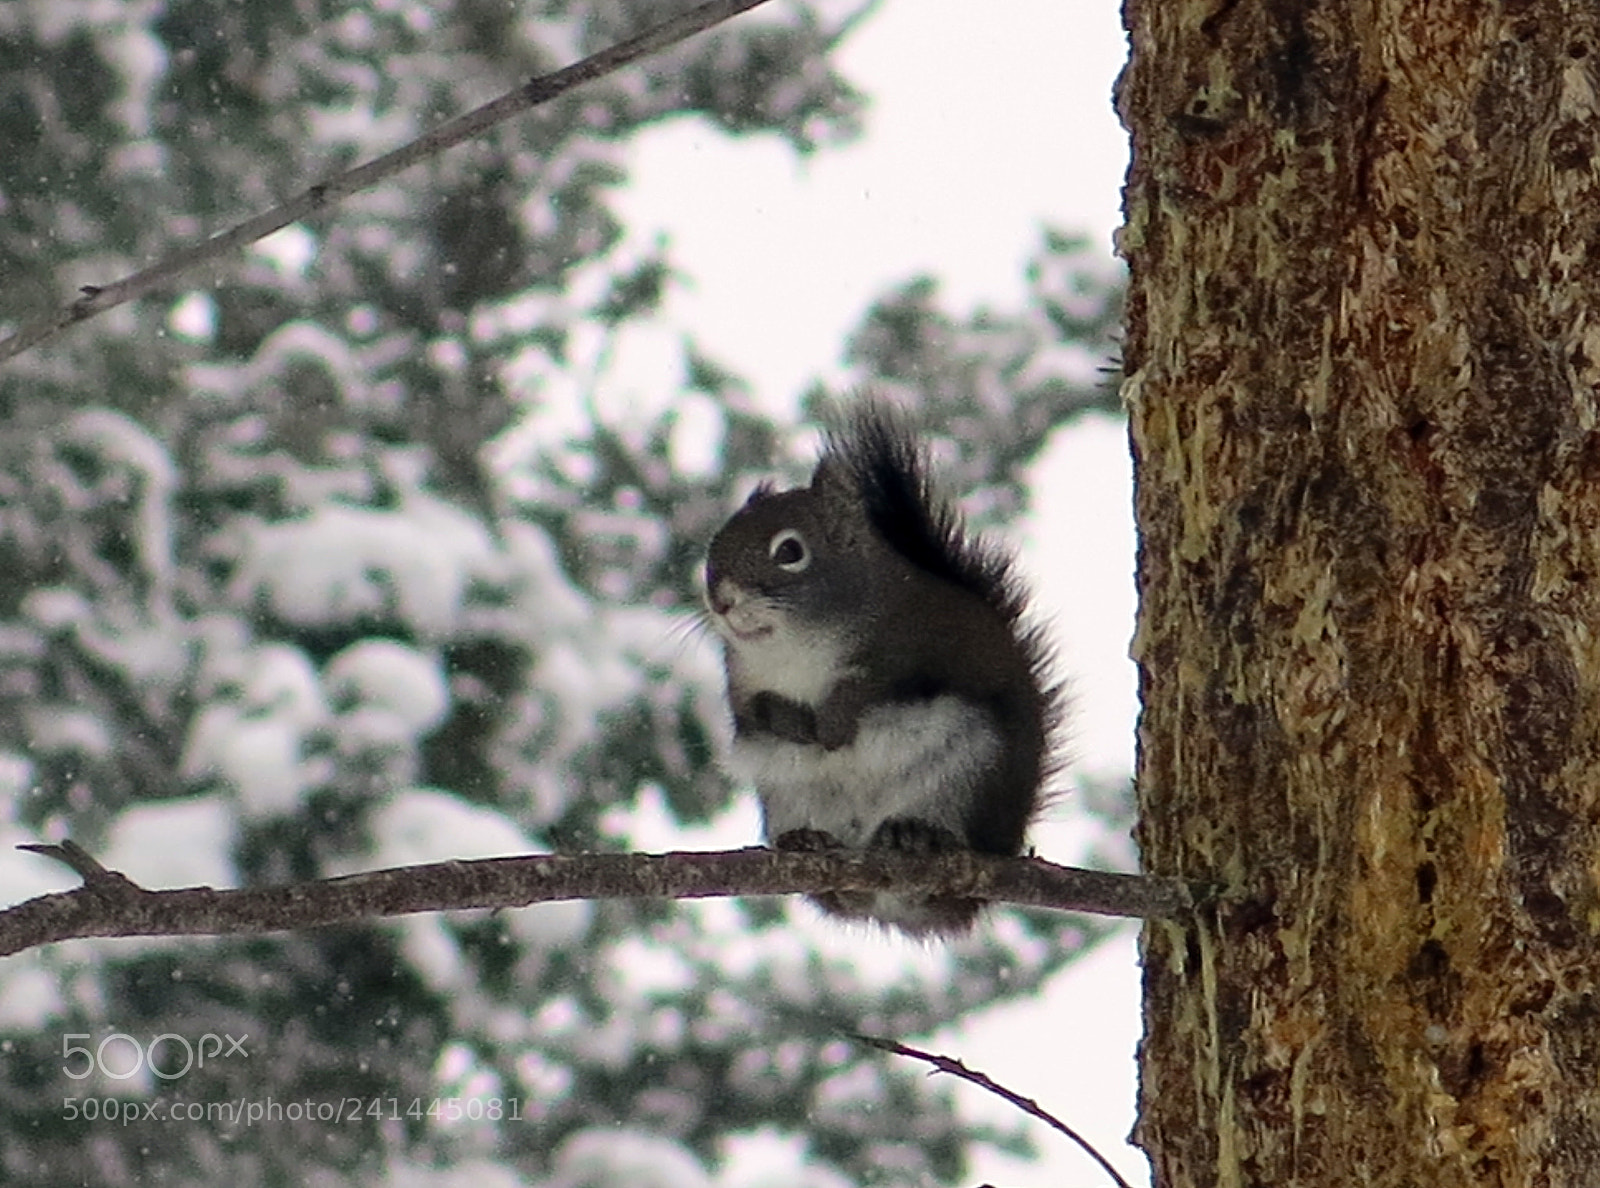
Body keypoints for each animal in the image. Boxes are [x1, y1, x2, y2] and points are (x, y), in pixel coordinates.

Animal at [703, 399, 1061, 936]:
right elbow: (755, 715)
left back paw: (917, 836)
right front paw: (794, 722)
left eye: (790, 551)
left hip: (970, 771)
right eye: (717, 541)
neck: (795, 649)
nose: (721, 600)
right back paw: (814, 850)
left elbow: (873, 688)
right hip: (787, 794)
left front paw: (832, 725)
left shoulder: (914, 645)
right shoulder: (742, 685)